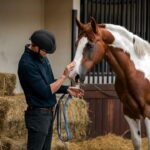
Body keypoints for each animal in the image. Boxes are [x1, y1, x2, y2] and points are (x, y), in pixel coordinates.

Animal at [69, 17, 150, 150]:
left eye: (90, 45)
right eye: (76, 44)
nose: (73, 75)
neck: (138, 72)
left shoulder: (148, 113)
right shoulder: (129, 112)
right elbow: (137, 142)